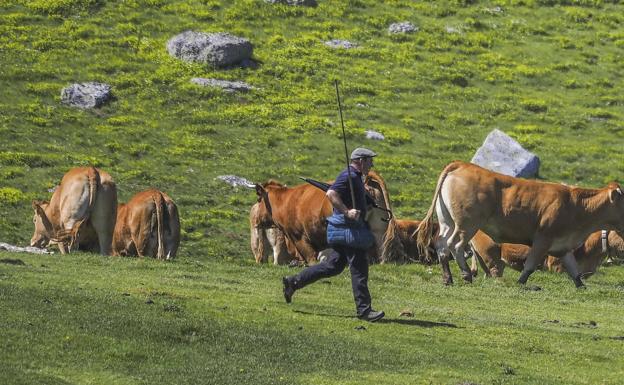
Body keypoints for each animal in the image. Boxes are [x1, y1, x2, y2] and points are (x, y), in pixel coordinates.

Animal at [416, 160, 624, 286]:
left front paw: (582, 286)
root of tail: (462, 164)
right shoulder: (543, 239)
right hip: (467, 225)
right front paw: (521, 282)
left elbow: (574, 271)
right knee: (455, 245)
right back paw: (466, 274)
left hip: (447, 221)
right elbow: (530, 265)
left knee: (442, 244)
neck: (576, 206)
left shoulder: (563, 245)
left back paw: (447, 278)